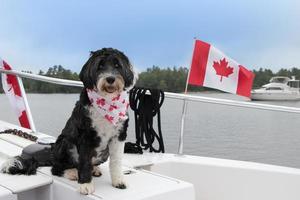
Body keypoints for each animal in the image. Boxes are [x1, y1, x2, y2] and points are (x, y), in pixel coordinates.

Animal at [0, 47, 137, 195]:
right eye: (100, 66)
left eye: (117, 65)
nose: (110, 78)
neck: (106, 101)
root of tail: (52, 154)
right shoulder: (85, 135)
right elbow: (84, 162)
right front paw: (85, 184)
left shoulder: (119, 135)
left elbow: (116, 161)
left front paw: (118, 181)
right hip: (66, 143)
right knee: (57, 168)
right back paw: (71, 172)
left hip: (103, 153)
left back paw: (94, 169)